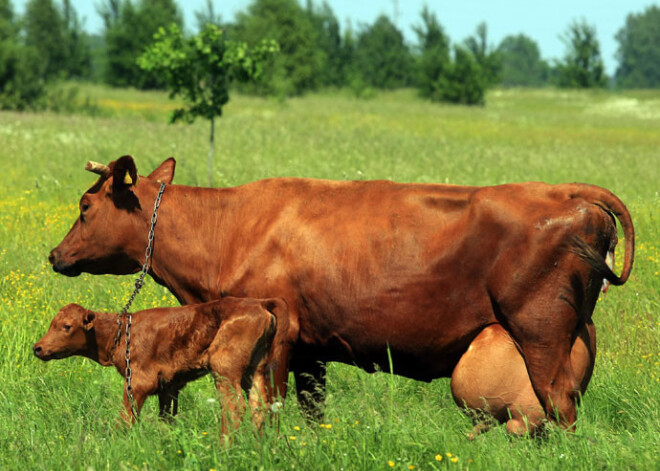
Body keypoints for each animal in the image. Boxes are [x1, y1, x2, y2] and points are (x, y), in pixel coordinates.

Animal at [32, 298, 286, 436]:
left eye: (66, 326)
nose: (37, 348)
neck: (120, 333)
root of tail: (259, 303)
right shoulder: (169, 387)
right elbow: (166, 419)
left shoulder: (138, 383)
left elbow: (126, 417)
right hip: (255, 370)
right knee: (259, 406)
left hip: (225, 368)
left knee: (233, 406)